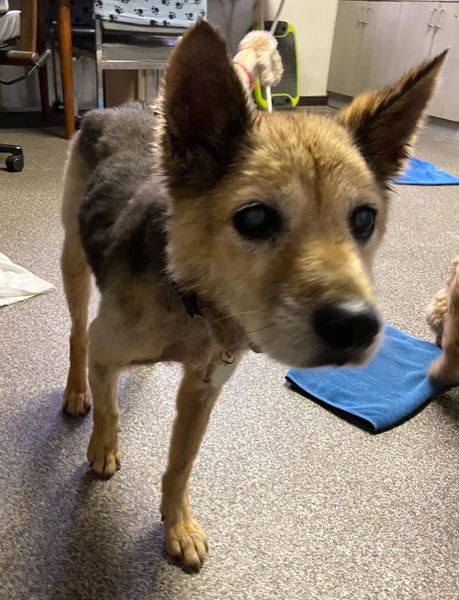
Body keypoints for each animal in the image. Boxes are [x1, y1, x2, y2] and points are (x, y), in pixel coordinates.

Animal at [61, 20, 445, 570]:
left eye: (364, 219)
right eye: (256, 218)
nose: (357, 326)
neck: (191, 300)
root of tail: (117, 107)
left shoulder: (202, 389)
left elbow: (181, 462)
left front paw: (177, 525)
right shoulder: (108, 345)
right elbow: (109, 407)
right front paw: (103, 449)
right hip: (72, 259)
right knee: (77, 335)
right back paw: (77, 392)